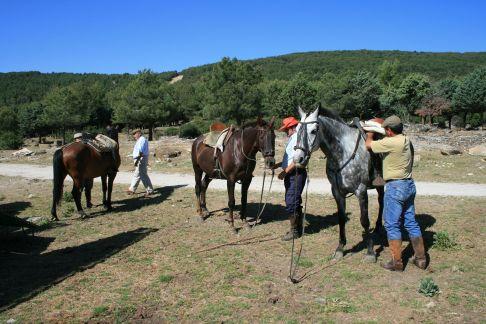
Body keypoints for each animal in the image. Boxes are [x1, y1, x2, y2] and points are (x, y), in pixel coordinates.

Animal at [292, 105, 384, 262]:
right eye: (297, 129)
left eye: (313, 131)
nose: (298, 158)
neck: (342, 154)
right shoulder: (337, 192)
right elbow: (341, 218)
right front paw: (340, 249)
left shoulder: (361, 191)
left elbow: (364, 220)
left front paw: (370, 252)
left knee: (382, 201)